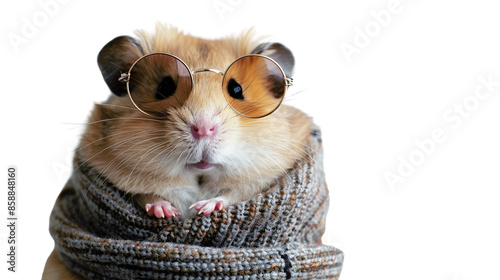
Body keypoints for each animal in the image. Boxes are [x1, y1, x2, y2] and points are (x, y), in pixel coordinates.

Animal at [79, 24, 310, 218]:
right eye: (164, 88)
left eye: (237, 90)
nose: (204, 129)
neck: (200, 175)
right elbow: (149, 195)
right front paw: (166, 213)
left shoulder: (258, 183)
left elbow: (231, 195)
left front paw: (203, 208)